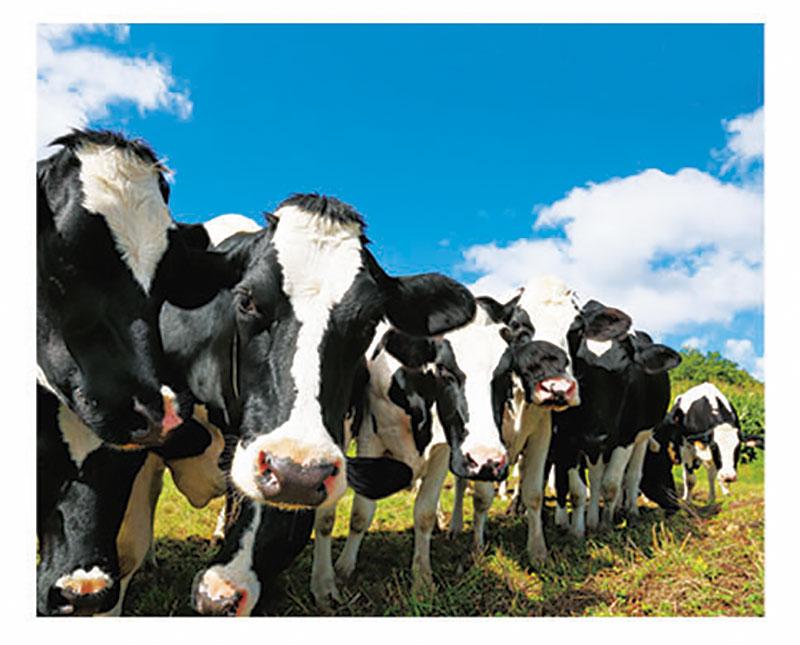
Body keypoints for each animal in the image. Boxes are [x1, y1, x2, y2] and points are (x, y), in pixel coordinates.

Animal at [552, 300, 680, 536]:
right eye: (579, 369)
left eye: (627, 373)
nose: (674, 503)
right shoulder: (569, 436)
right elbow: (575, 487)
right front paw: (577, 529)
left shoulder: (625, 437)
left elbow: (611, 484)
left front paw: (605, 524)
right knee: (595, 476)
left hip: (642, 437)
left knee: (631, 476)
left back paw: (628, 511)